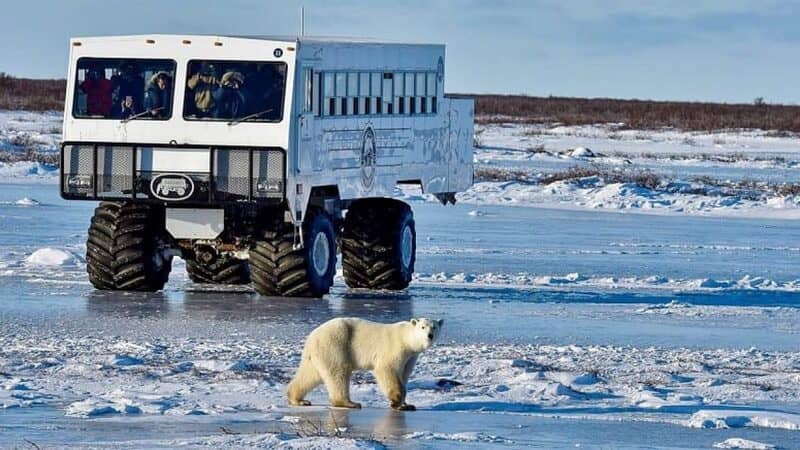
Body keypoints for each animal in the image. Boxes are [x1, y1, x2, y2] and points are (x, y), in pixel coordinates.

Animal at [286, 318, 444, 410]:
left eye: (434, 327)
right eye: (423, 327)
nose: (430, 335)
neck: (406, 338)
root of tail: (312, 336)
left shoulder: (410, 357)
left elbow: (404, 376)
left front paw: (407, 404)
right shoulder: (395, 348)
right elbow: (387, 370)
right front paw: (397, 402)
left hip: (318, 353)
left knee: (310, 374)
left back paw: (298, 399)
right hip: (336, 344)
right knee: (339, 372)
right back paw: (350, 403)